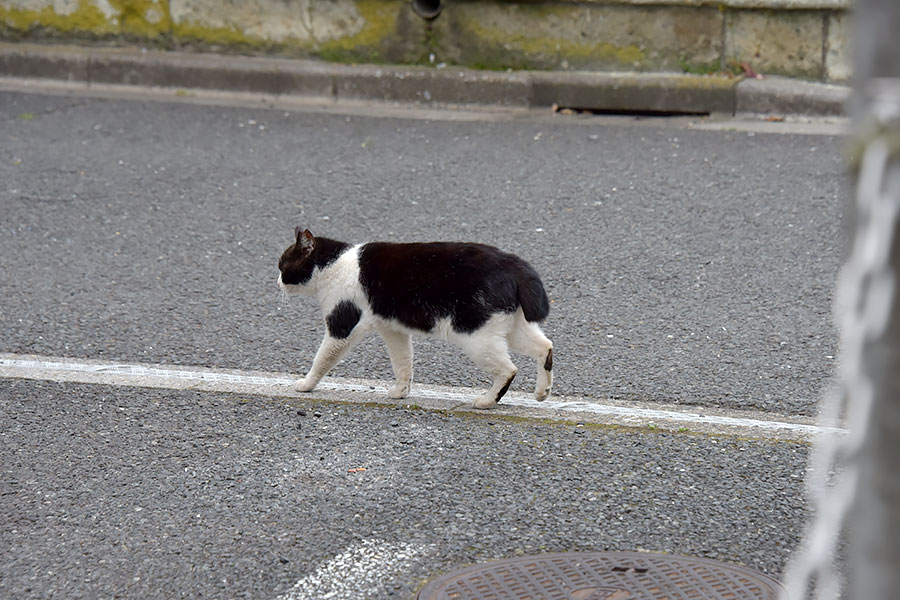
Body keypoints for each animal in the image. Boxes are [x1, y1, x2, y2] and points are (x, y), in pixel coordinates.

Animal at [278, 227, 552, 410]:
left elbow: (322, 358)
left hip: (475, 335)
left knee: (509, 370)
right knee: (545, 347)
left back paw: (486, 401)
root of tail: (512, 262)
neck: (332, 265)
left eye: (282, 266)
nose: (277, 282)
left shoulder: (342, 324)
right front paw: (401, 391)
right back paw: (542, 392)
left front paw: (306, 384)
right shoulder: (393, 329)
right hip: (509, 327)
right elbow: (402, 361)